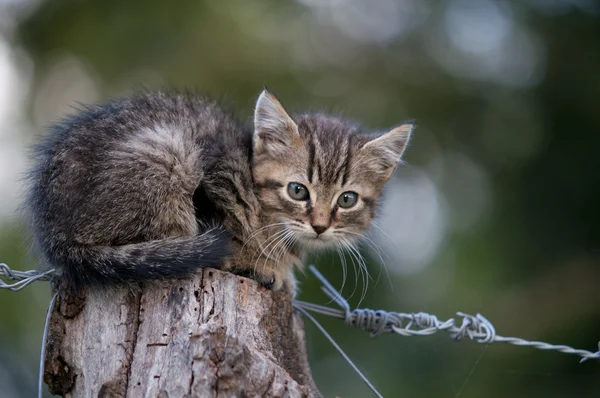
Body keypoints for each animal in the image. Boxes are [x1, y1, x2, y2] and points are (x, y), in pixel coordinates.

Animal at [24, 88, 412, 290]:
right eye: (298, 191)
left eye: (347, 199)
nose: (320, 225)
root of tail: (55, 234)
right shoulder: (213, 172)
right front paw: (259, 262)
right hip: (169, 151)